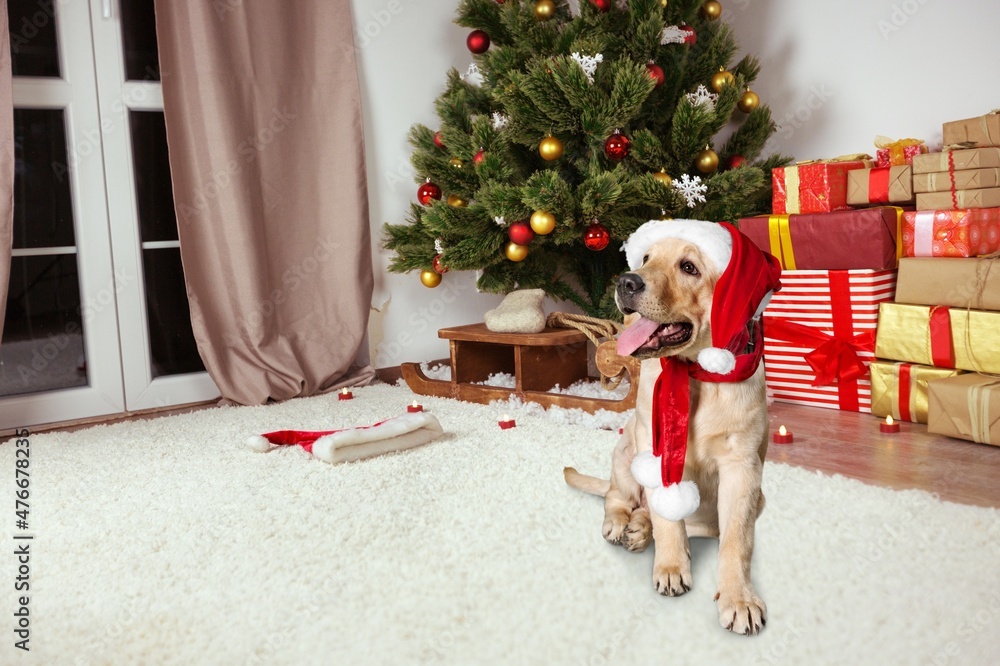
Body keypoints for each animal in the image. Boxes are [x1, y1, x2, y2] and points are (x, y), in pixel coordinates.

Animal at [564, 220, 780, 636]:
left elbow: (737, 541)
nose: (625, 281)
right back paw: (622, 523)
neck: (695, 372)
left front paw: (738, 598)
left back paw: (640, 527)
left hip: (743, 503)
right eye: (646, 258)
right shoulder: (654, 446)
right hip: (625, 452)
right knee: (617, 496)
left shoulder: (742, 470)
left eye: (689, 267)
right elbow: (668, 519)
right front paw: (670, 566)